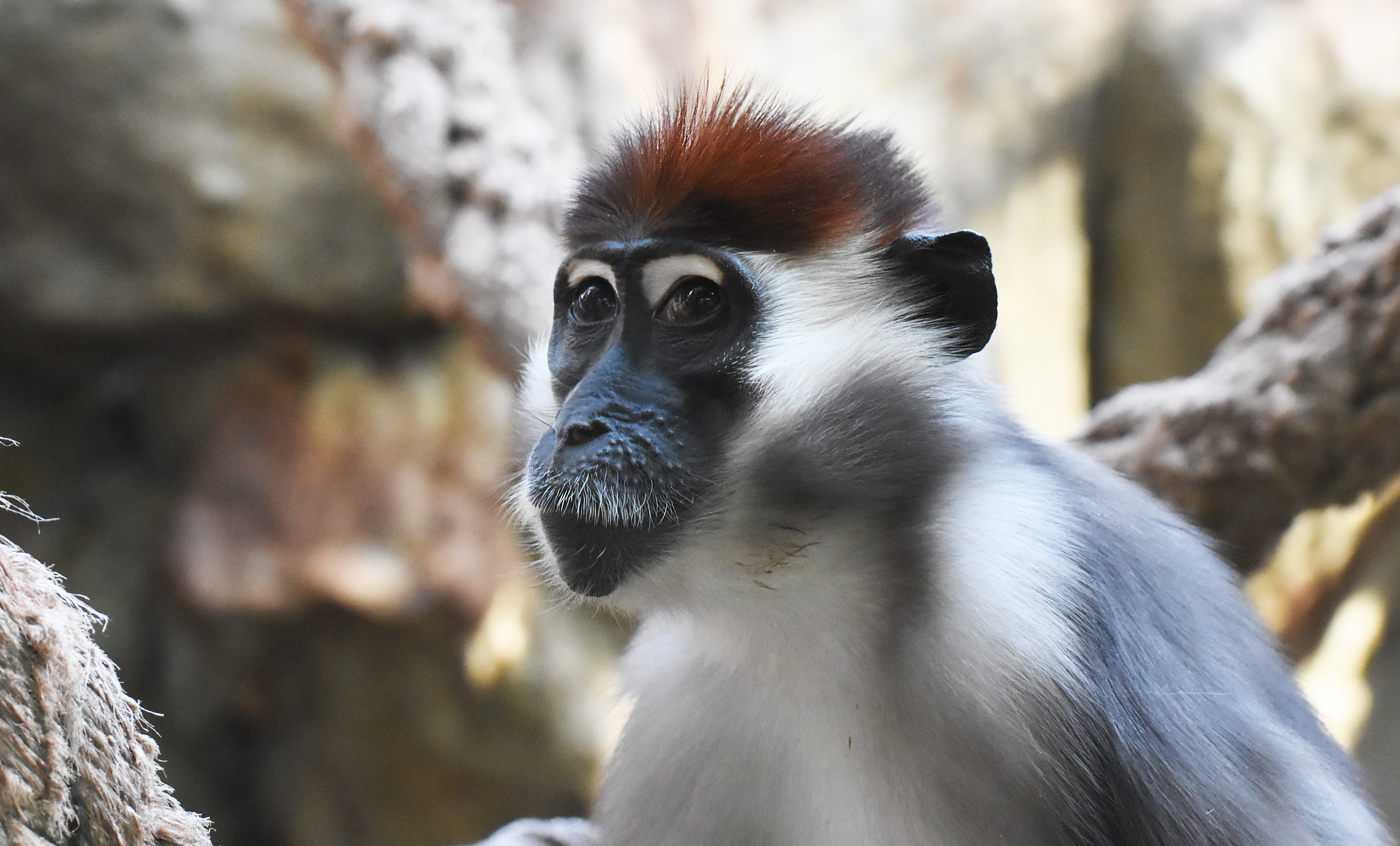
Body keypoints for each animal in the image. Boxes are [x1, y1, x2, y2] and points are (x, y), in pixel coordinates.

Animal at [478, 87, 1388, 846]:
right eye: (592, 303)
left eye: (694, 303)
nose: (579, 427)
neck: (805, 588)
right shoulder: (680, 694)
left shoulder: (1021, 577)